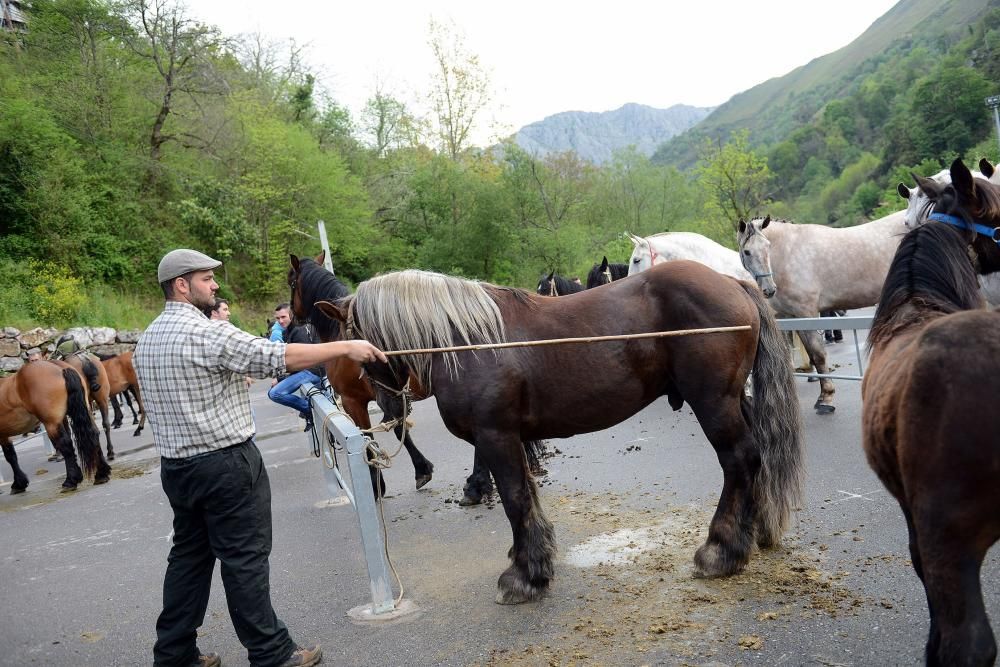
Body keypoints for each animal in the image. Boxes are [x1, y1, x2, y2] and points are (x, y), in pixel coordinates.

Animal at [0, 360, 111, 496]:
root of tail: (61, 368)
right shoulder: (4, 434)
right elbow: (11, 455)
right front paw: (19, 483)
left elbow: (9, 457)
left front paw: (18, 483)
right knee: (93, 434)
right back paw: (101, 474)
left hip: (52, 424)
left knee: (65, 445)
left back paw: (70, 481)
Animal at [322, 260, 804, 604]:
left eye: (356, 345)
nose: (389, 408)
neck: (469, 341)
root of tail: (732, 282)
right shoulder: (512, 439)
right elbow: (528, 499)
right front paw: (532, 562)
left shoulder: (496, 436)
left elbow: (515, 499)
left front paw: (524, 577)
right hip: (732, 400)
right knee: (757, 456)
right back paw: (755, 531)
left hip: (713, 402)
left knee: (738, 460)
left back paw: (721, 550)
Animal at [736, 211, 908, 414]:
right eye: (747, 252)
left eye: (768, 246)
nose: (769, 289)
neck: (789, 252)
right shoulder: (794, 318)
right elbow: (810, 354)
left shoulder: (807, 313)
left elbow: (818, 355)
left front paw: (826, 397)